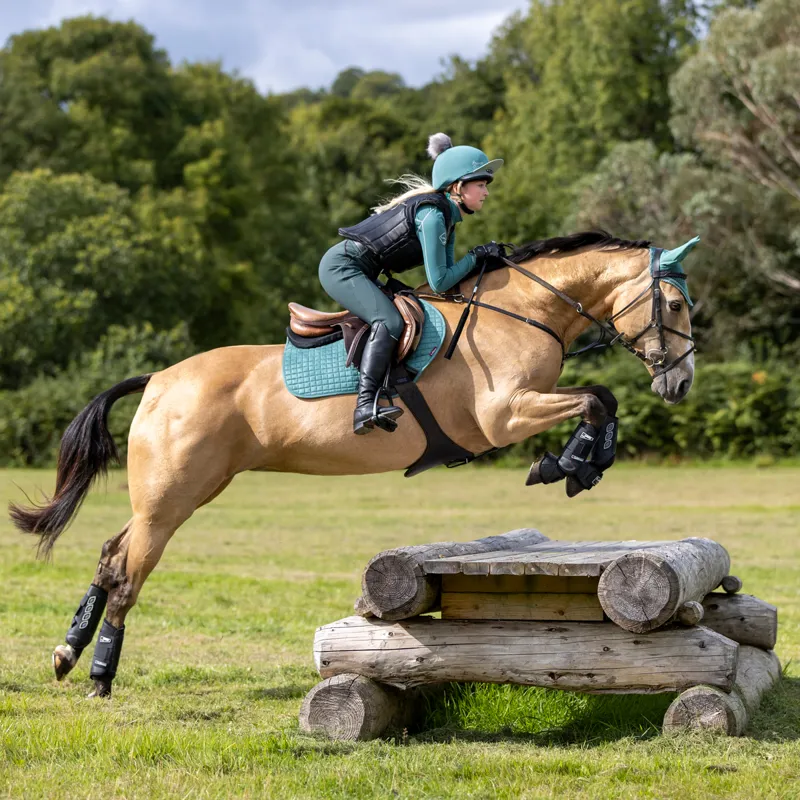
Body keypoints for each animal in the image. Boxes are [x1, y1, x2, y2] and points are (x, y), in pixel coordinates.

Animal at [6, 228, 696, 696]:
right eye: (676, 305)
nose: (681, 384)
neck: (523, 311)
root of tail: (156, 380)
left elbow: (601, 399)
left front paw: (583, 464)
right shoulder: (503, 417)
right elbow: (596, 399)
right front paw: (569, 464)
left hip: (175, 494)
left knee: (109, 554)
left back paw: (67, 653)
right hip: (171, 501)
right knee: (128, 572)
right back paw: (99, 674)